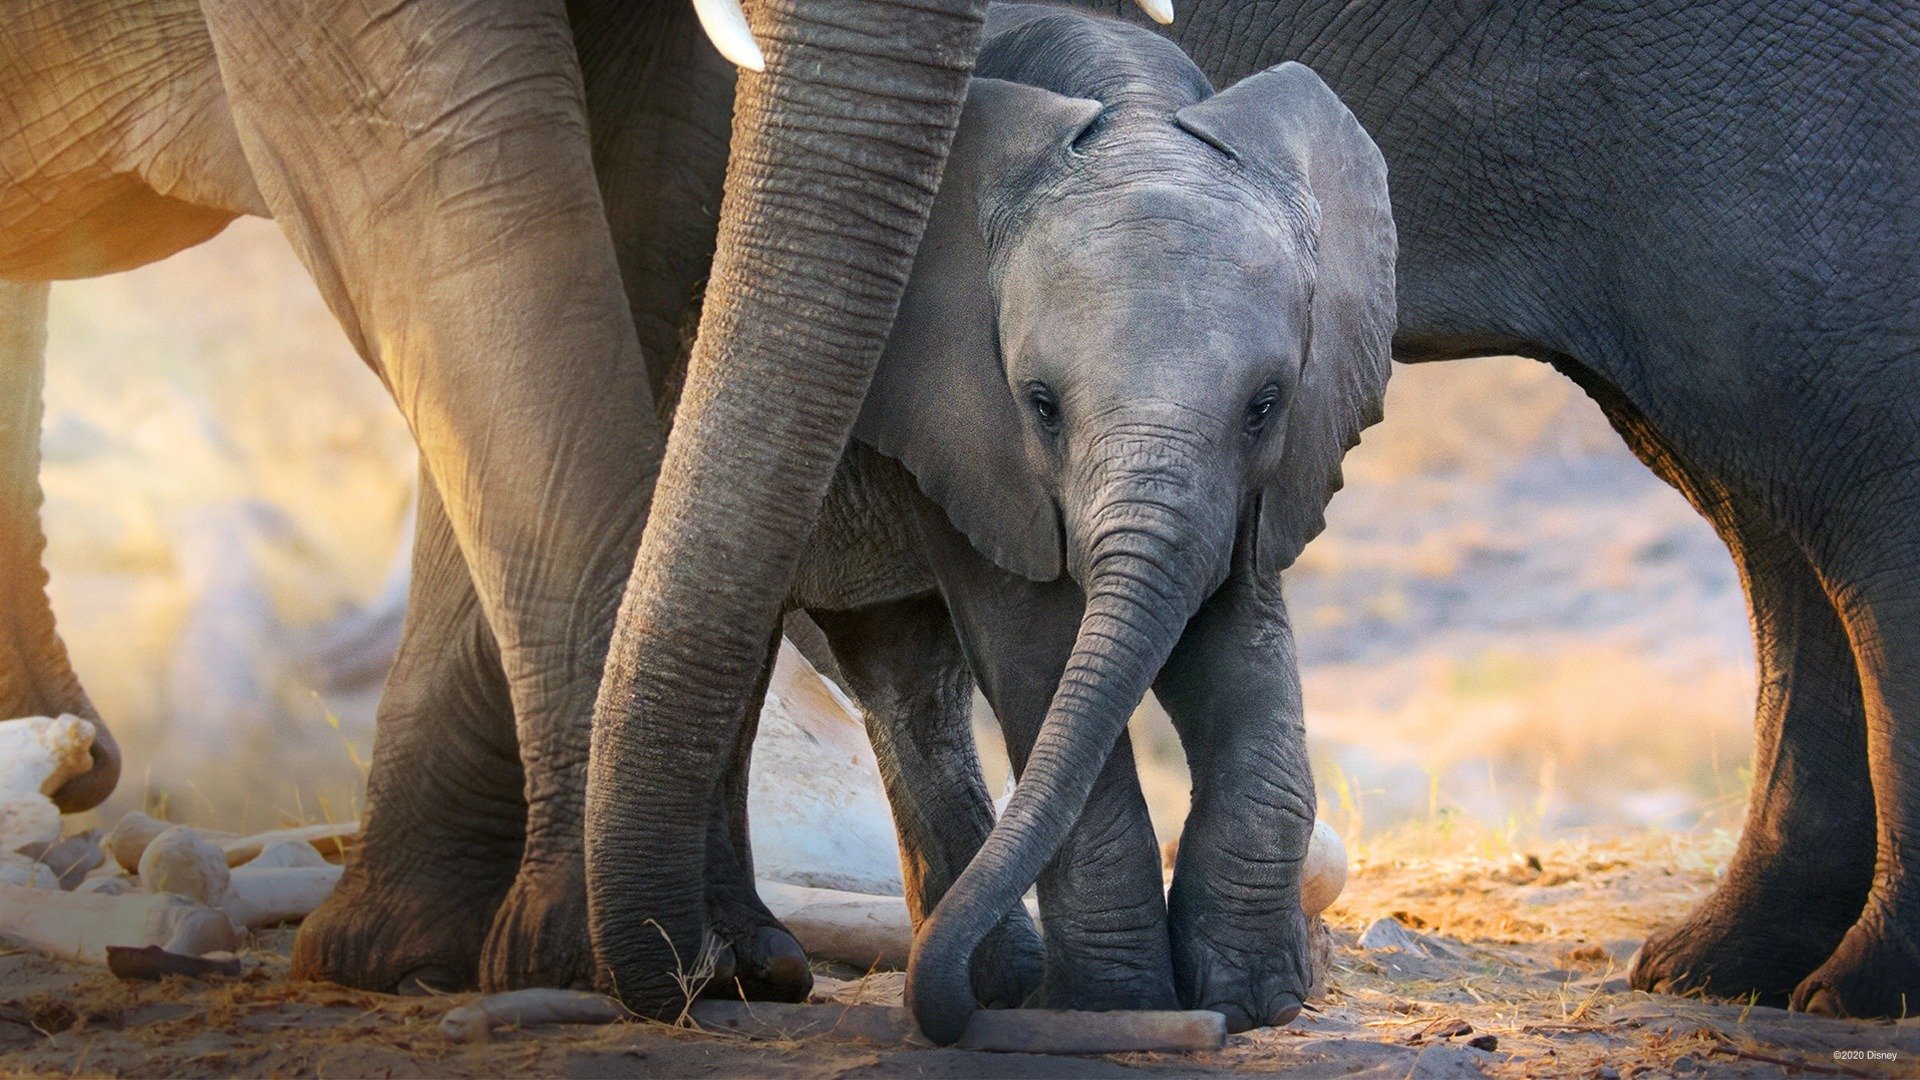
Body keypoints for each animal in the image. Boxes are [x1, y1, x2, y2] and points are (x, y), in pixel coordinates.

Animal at [765, 5, 1392, 1039]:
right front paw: (1116, 1009)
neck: (1129, 106)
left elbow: (1238, 636)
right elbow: (1037, 649)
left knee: (903, 676)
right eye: (1042, 405)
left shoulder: (1265, 477)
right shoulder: (962, 419)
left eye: (1266, 404)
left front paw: (1252, 1003)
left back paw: (997, 986)